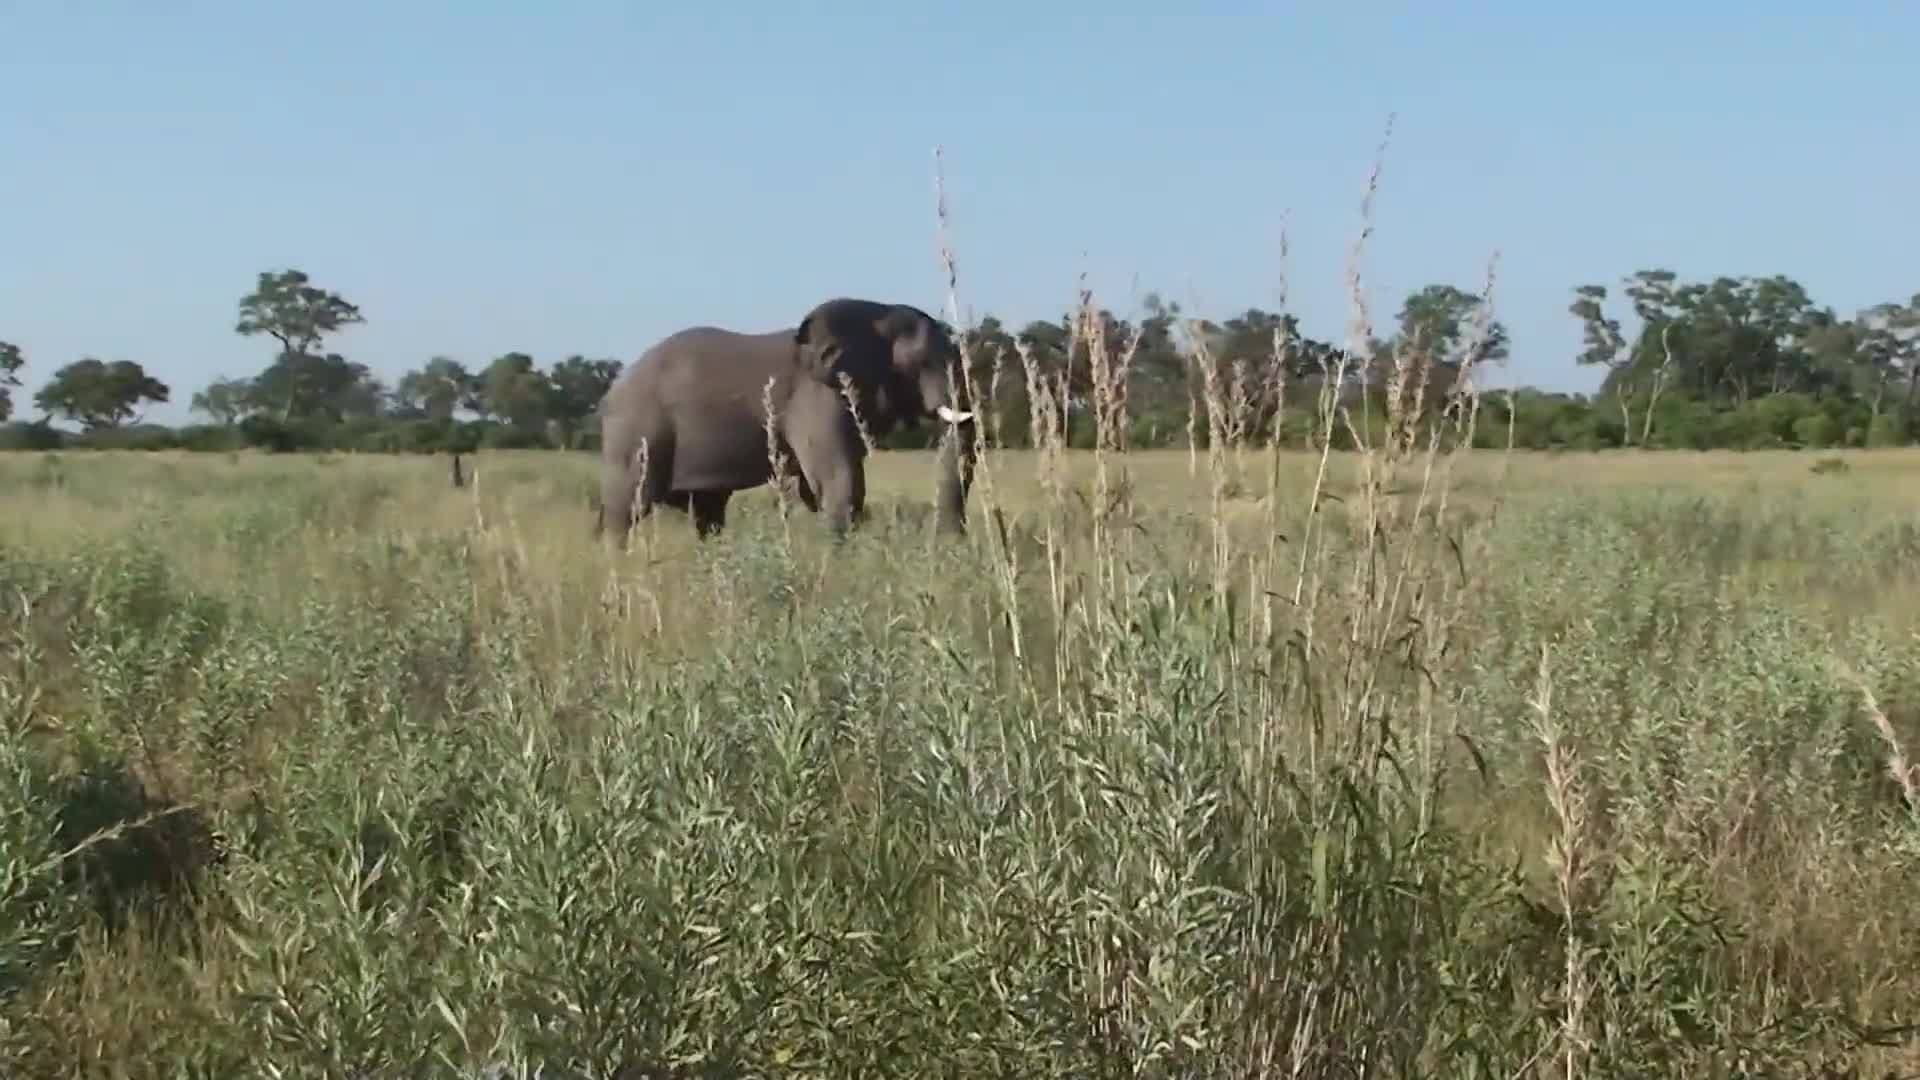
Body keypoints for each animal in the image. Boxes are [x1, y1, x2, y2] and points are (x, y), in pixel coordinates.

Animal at [595, 297, 978, 544]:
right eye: (921, 362)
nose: (952, 543)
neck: (876, 312)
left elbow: (818, 488)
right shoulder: (817, 396)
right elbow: (839, 480)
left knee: (707, 511)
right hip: (636, 433)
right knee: (626, 510)